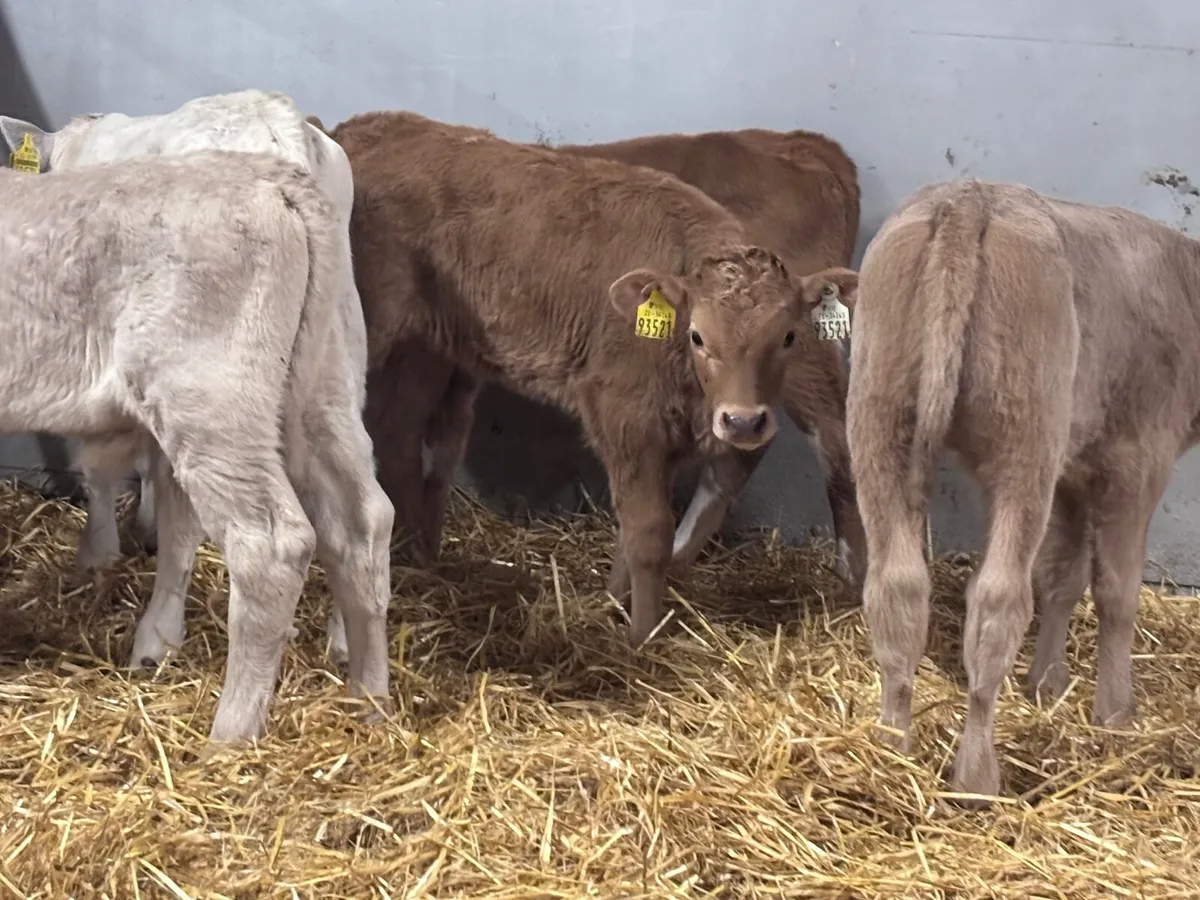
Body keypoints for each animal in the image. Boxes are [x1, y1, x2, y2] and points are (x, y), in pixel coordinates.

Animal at [0, 149, 393, 741]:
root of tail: (272, 179)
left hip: (211, 396)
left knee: (271, 546)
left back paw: (230, 735)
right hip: (322, 382)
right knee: (361, 523)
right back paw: (370, 702)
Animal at [327, 109, 857, 646]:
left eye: (786, 335)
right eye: (698, 336)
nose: (742, 420)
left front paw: (634, 627)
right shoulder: (627, 412)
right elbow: (644, 524)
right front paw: (635, 627)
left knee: (828, 436)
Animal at [846, 176, 1198, 801]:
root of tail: (970, 198)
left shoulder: (1072, 470)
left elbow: (1064, 577)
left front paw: (1047, 683)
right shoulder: (1137, 459)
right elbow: (1116, 591)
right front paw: (1114, 711)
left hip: (880, 417)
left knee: (896, 589)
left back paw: (891, 751)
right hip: (1024, 441)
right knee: (997, 599)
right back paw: (977, 778)